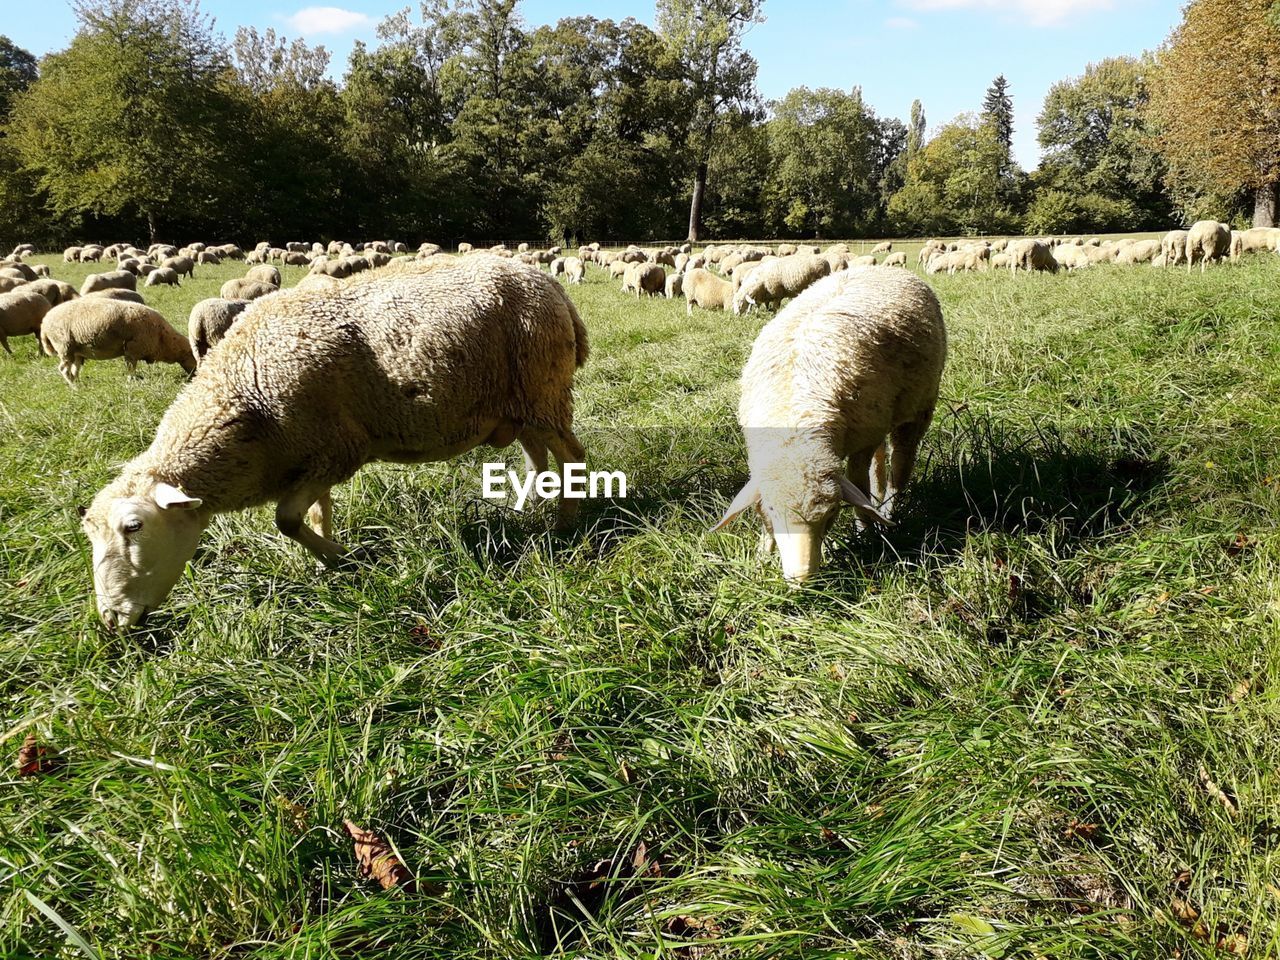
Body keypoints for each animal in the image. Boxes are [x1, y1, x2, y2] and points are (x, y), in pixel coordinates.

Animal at [39, 299, 194, 386]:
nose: (194, 375)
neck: (163, 340)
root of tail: (44, 323)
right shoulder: (132, 350)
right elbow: (131, 368)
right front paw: (131, 381)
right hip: (64, 346)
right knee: (64, 369)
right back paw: (74, 387)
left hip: (76, 350)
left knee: (74, 368)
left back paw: (78, 383)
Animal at [74, 256, 586, 632]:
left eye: (134, 526)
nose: (111, 620)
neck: (245, 400)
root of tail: (549, 283)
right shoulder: (312, 454)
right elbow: (314, 514)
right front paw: (328, 560)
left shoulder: (339, 450)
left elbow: (285, 519)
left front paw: (346, 558)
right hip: (519, 402)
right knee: (537, 455)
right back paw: (532, 508)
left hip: (543, 387)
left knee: (571, 457)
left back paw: (564, 525)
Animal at [716, 267, 947, 583]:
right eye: (773, 510)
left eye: (832, 513)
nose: (802, 578)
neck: (795, 418)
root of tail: (882, 267)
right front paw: (763, 555)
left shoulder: (861, 441)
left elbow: (858, 485)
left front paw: (865, 534)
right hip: (878, 418)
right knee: (879, 463)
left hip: (917, 409)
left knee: (900, 465)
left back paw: (888, 510)